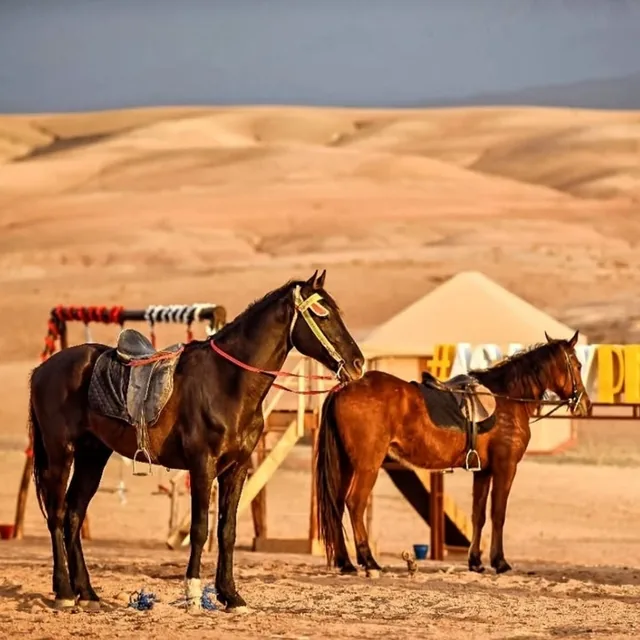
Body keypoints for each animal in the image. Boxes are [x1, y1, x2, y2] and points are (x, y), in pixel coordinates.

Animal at [28, 269, 365, 611]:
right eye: (321, 313)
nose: (357, 364)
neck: (226, 382)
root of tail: (44, 369)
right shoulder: (202, 466)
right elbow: (200, 528)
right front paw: (193, 593)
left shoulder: (237, 469)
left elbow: (226, 531)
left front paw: (230, 595)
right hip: (60, 454)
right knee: (57, 515)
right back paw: (64, 591)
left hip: (92, 456)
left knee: (73, 515)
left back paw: (87, 593)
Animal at [314, 330, 592, 578]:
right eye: (577, 365)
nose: (586, 405)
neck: (507, 399)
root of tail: (344, 389)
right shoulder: (506, 466)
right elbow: (498, 514)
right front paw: (499, 562)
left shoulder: (483, 471)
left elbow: (479, 515)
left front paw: (476, 561)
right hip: (367, 466)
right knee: (355, 504)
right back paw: (368, 561)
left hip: (346, 465)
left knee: (337, 505)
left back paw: (345, 562)